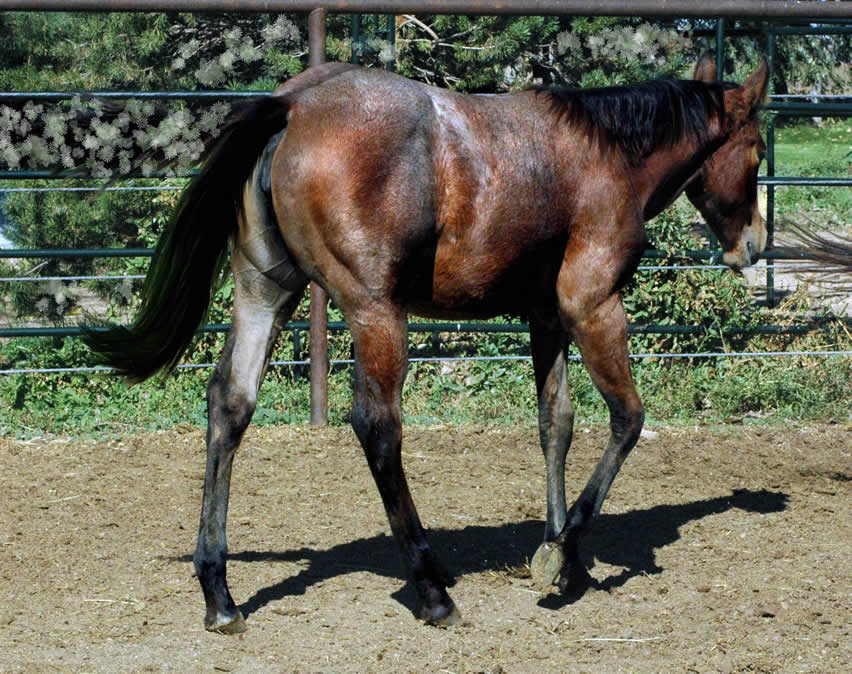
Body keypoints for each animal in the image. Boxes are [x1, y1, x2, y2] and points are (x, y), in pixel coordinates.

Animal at [85, 52, 772, 632]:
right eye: (759, 150)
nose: (755, 245)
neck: (604, 156)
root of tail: (295, 106)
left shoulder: (545, 317)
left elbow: (556, 422)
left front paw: (557, 551)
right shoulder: (592, 306)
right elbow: (627, 419)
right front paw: (563, 554)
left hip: (265, 292)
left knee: (229, 403)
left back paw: (220, 594)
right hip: (376, 312)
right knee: (377, 426)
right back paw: (432, 589)